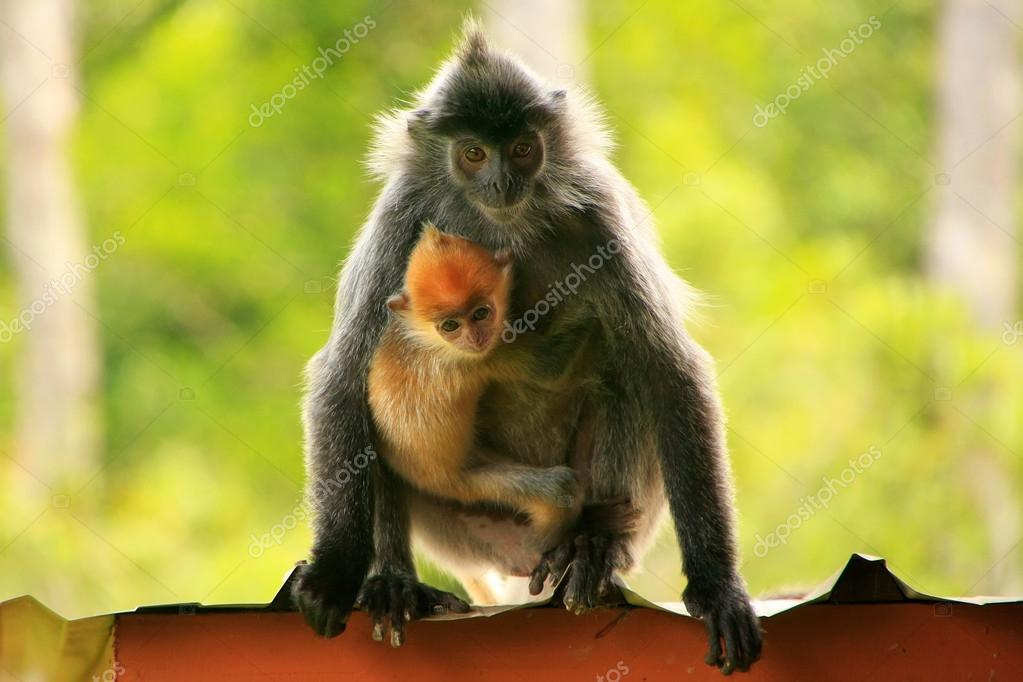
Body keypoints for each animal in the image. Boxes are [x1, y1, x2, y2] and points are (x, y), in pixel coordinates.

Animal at [367, 224, 580, 549]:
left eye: (480, 313)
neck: (428, 342)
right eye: (450, 326)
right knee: (557, 488)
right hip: (466, 483)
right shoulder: (485, 357)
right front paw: (586, 311)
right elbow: (552, 368)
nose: (475, 338)